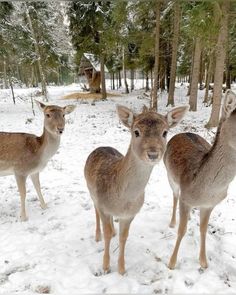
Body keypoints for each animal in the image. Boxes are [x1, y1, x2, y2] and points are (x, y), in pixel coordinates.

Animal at [84, 104, 188, 276]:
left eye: (165, 132)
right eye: (136, 132)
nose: (153, 154)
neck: (123, 200)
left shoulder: (131, 214)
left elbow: (123, 237)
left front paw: (121, 269)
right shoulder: (103, 205)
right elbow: (106, 233)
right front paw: (105, 267)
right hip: (90, 191)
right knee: (95, 210)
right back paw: (98, 235)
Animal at [164, 89, 236, 270]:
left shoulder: (210, 205)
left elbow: (203, 229)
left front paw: (204, 262)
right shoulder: (185, 197)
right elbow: (182, 230)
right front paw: (172, 262)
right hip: (170, 176)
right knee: (175, 196)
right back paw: (172, 222)